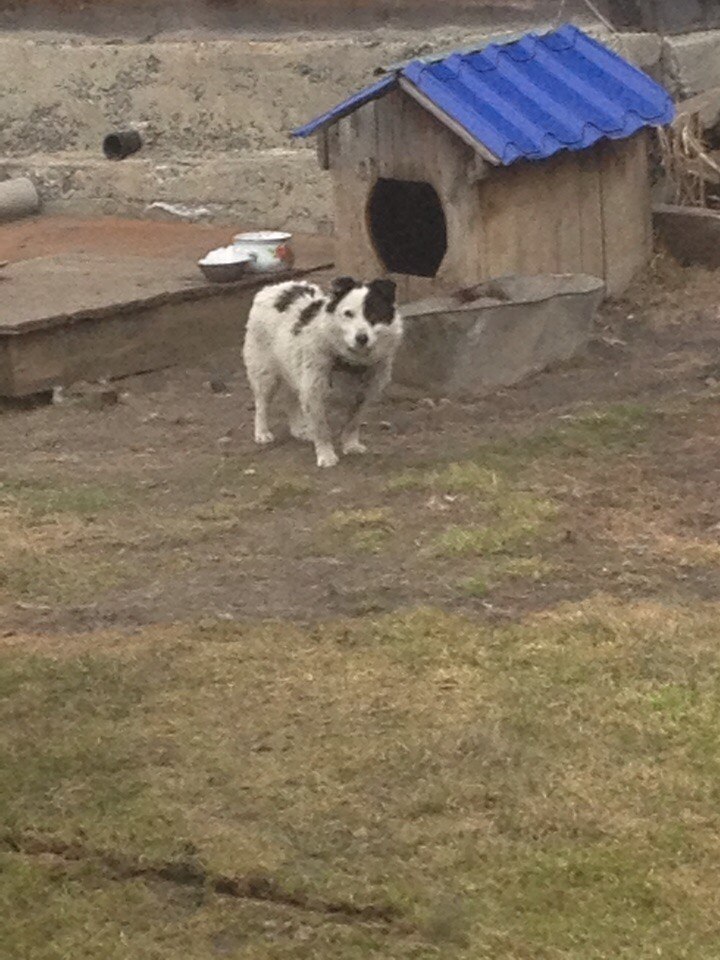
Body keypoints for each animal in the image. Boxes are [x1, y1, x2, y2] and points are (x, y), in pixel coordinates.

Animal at [243, 274, 402, 468]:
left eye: (374, 313)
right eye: (348, 314)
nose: (362, 338)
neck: (350, 362)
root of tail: (272, 288)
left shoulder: (364, 396)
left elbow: (353, 423)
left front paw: (351, 445)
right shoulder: (314, 394)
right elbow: (322, 430)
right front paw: (326, 456)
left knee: (290, 401)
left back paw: (298, 429)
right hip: (265, 376)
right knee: (261, 405)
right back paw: (262, 433)